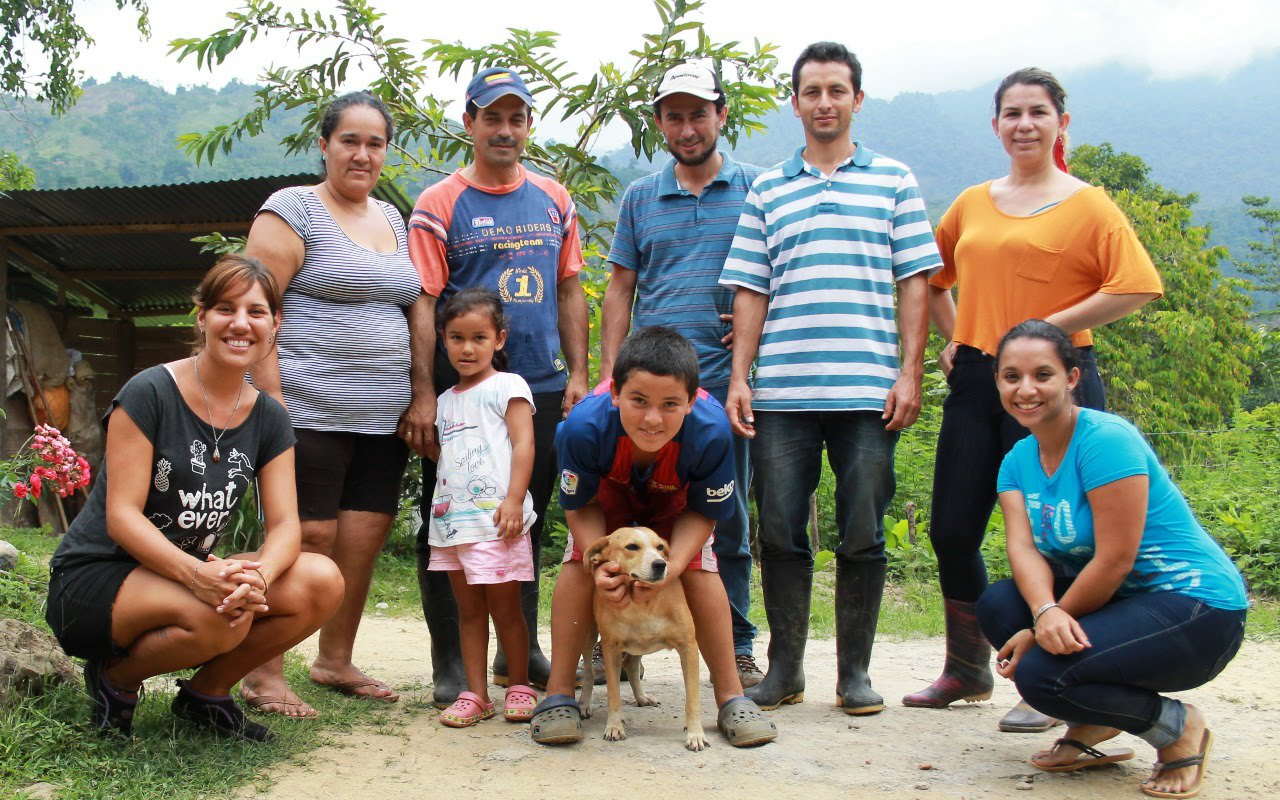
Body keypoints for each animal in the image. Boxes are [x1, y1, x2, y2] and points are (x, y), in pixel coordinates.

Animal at [581, 524, 711, 747]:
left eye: (660, 547)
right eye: (632, 546)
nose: (660, 564)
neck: (640, 605)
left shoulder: (688, 647)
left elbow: (692, 699)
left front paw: (695, 733)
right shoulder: (611, 649)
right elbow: (613, 695)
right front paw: (614, 726)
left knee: (631, 664)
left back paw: (642, 697)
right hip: (589, 638)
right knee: (589, 671)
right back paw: (584, 703)